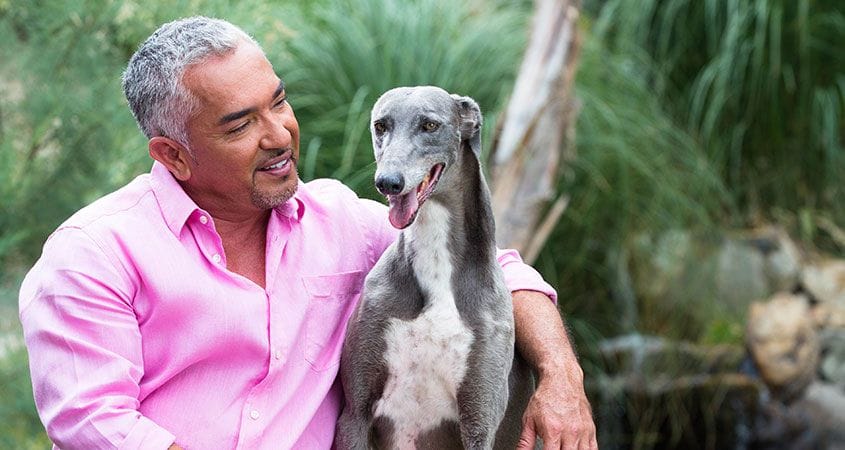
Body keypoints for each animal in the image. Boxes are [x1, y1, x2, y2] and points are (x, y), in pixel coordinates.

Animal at [334, 86, 528, 448]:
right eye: (380, 126)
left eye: (429, 125)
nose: (388, 182)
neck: (436, 261)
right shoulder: (355, 412)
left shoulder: (480, 424)